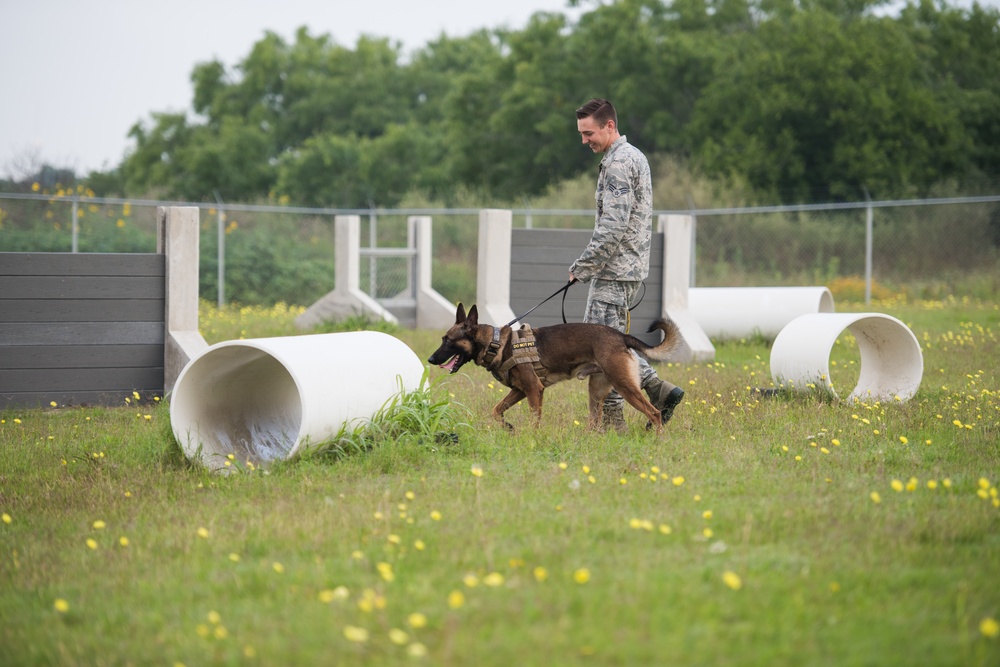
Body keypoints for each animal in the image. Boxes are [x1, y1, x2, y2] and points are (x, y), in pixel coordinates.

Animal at [426, 304, 684, 434]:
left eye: (448, 340)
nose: (430, 359)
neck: (497, 343)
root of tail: (621, 336)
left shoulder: (534, 390)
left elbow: (534, 420)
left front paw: (532, 438)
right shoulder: (519, 391)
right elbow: (496, 409)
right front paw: (508, 427)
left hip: (625, 386)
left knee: (655, 413)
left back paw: (658, 439)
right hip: (596, 391)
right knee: (595, 421)